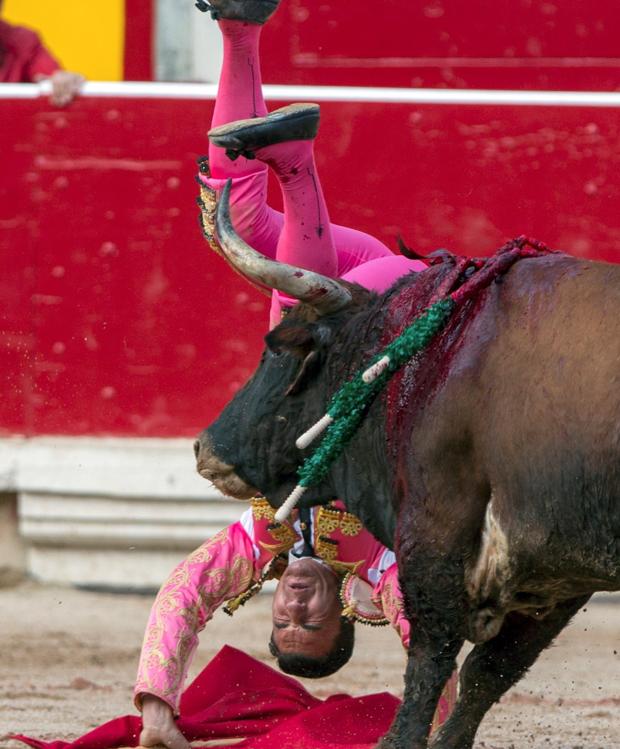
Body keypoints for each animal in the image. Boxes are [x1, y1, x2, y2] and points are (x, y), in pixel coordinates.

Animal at [195, 183, 620, 748]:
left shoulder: (436, 528)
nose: (204, 448)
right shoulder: (559, 576)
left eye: (275, 352)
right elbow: (489, 669)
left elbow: (431, 662)